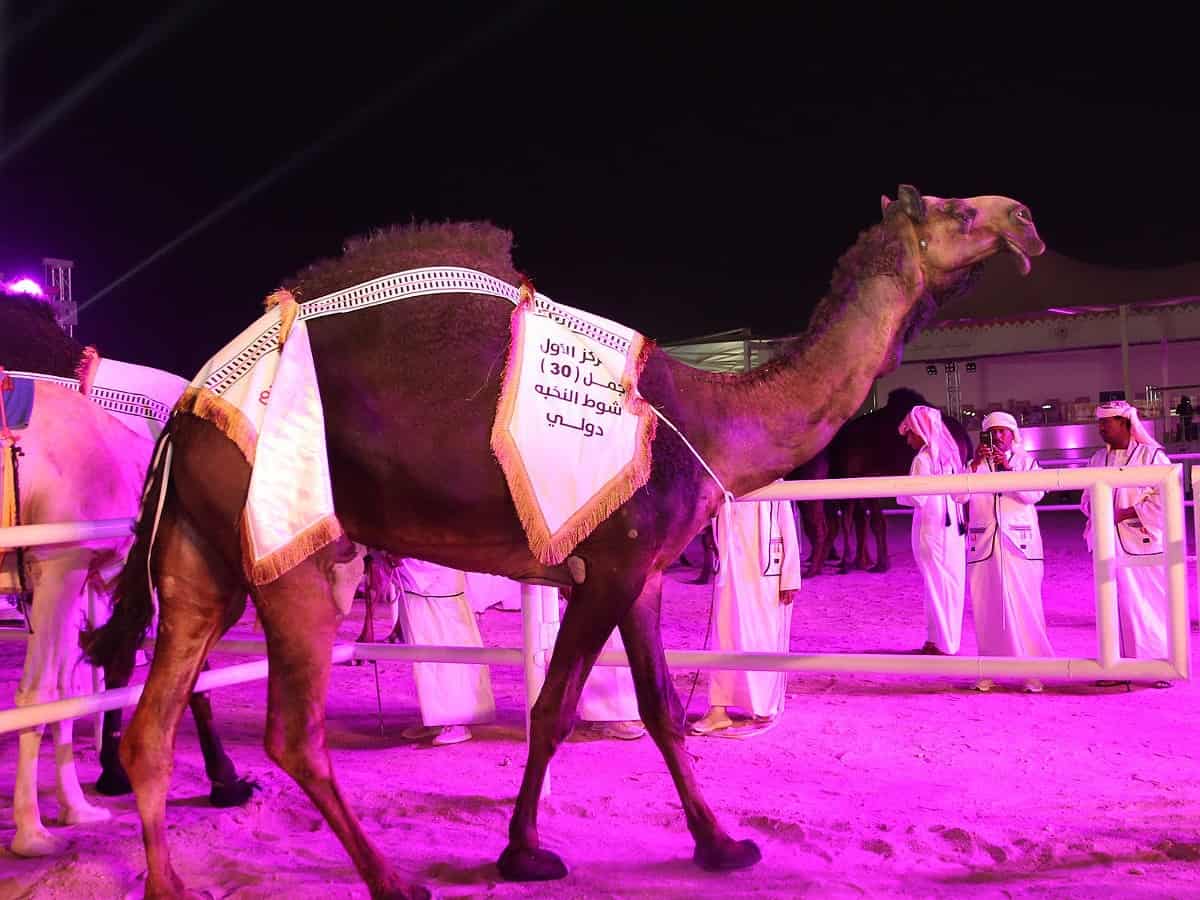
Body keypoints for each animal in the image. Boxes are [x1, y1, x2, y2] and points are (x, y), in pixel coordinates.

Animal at [84, 187, 1041, 897]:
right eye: (959, 209)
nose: (1024, 217)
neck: (712, 418)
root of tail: (186, 411)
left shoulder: (644, 573)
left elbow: (661, 709)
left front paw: (720, 845)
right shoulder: (609, 566)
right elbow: (554, 707)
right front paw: (524, 853)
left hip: (204, 557)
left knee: (153, 724)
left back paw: (170, 882)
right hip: (294, 548)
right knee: (292, 733)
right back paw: (393, 880)